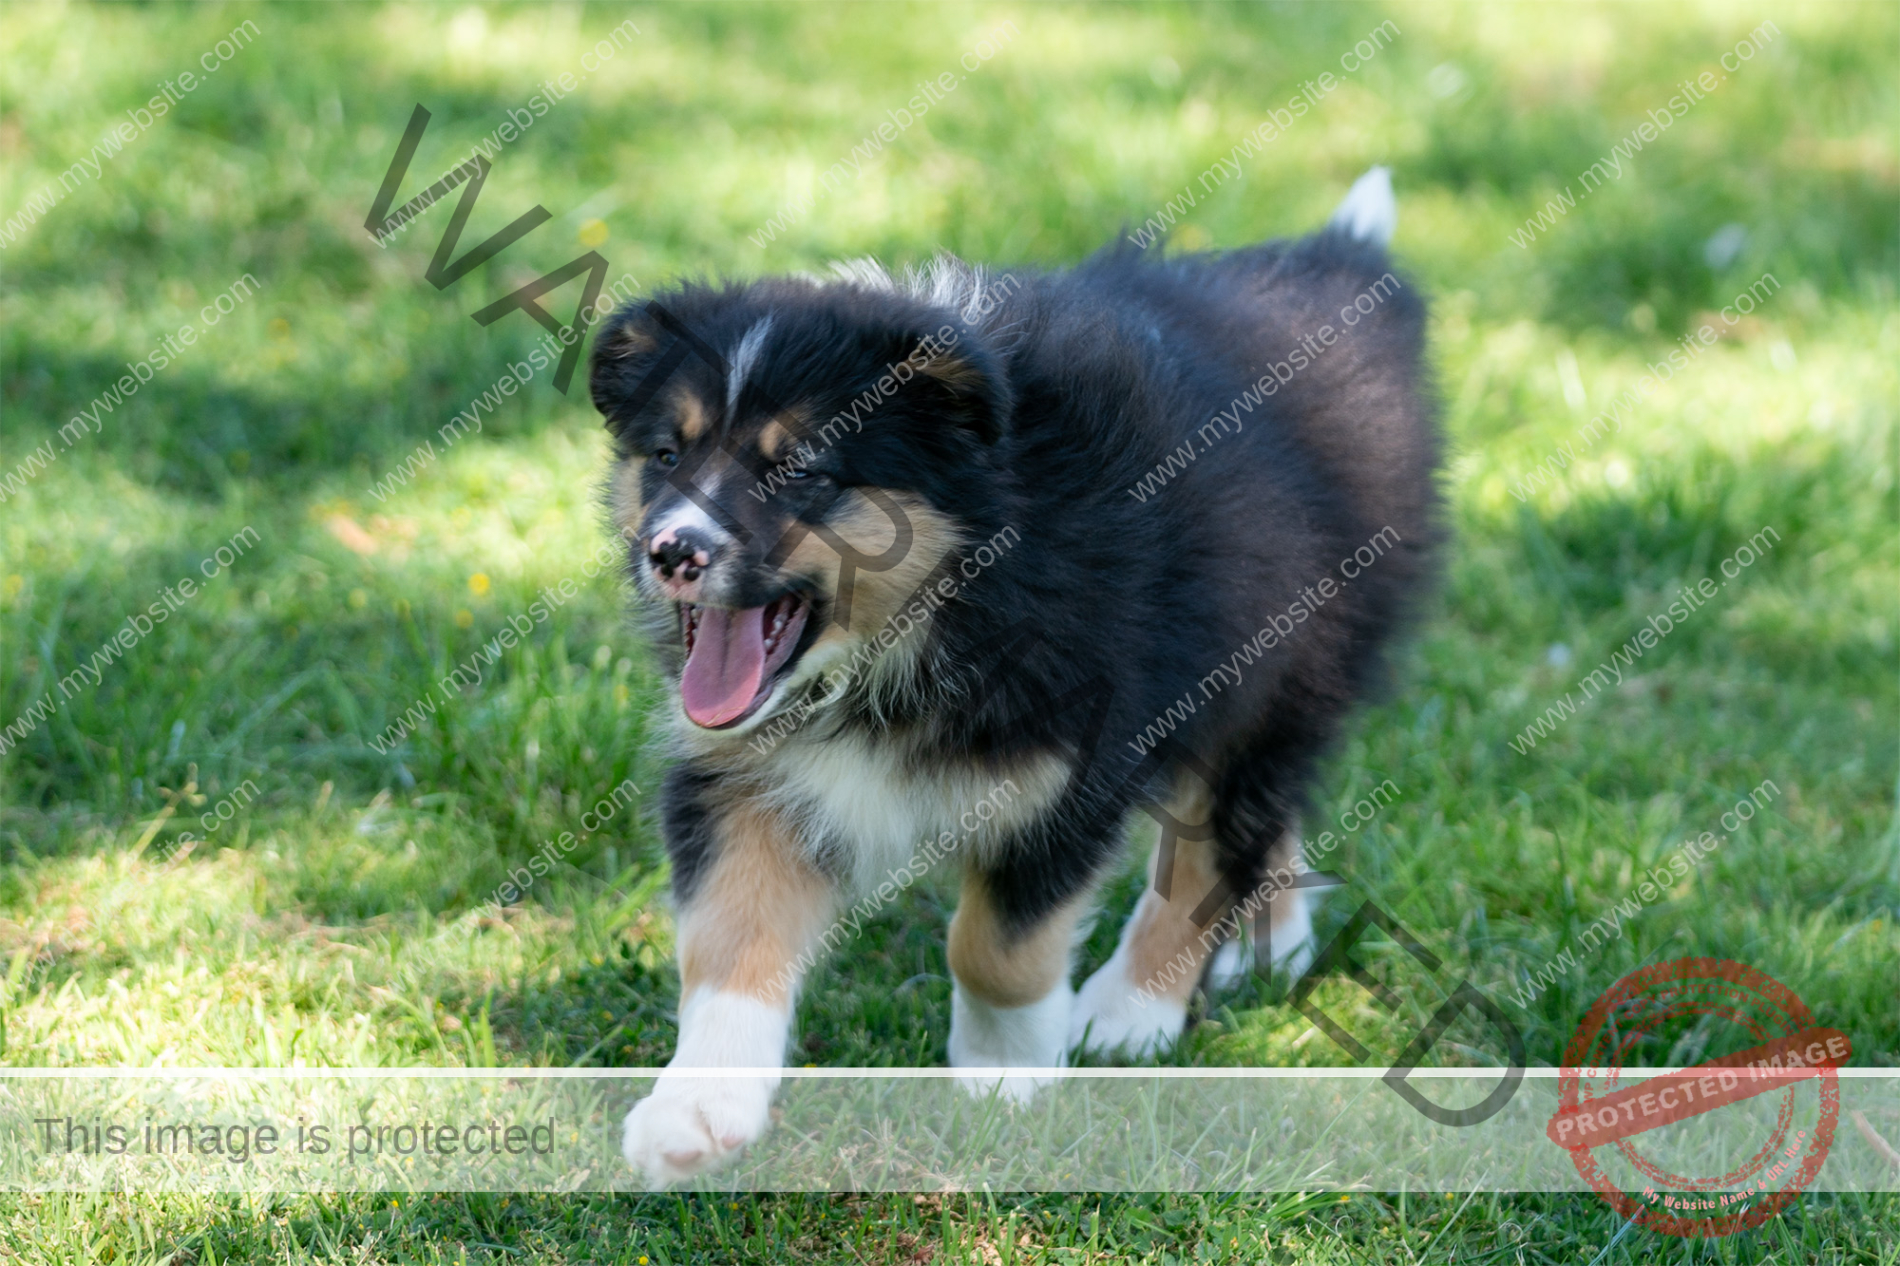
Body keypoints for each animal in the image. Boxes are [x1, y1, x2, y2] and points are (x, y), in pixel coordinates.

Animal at [592, 167, 1436, 1186]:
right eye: (665, 456)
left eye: (799, 470)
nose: (672, 552)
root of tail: (1333, 267)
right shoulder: (741, 774)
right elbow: (724, 937)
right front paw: (695, 1113)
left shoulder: (1073, 766)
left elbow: (994, 946)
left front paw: (1006, 1075)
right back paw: (1270, 945)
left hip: (1277, 660)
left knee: (1222, 830)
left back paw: (1132, 1011)